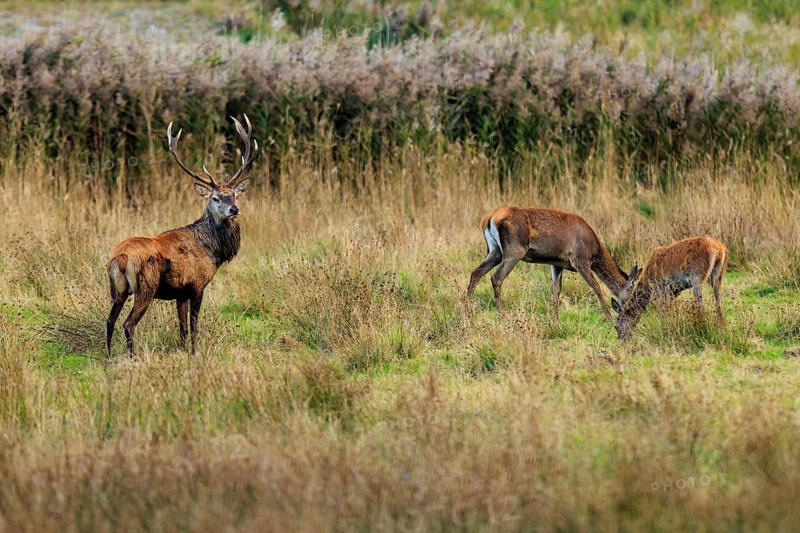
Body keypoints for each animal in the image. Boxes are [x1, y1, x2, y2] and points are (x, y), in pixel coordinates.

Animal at [105, 115, 257, 359]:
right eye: (215, 198)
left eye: (234, 195)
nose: (234, 209)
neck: (212, 251)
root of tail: (120, 257)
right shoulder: (197, 285)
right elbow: (194, 326)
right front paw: (195, 353)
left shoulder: (180, 293)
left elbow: (182, 327)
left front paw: (182, 350)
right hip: (145, 287)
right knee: (128, 323)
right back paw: (133, 356)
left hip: (117, 289)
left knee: (109, 321)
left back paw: (108, 357)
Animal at [467, 206, 636, 321]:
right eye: (633, 292)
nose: (633, 311)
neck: (595, 252)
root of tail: (489, 218)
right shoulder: (579, 259)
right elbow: (597, 287)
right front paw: (609, 317)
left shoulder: (557, 263)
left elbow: (556, 291)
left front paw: (555, 320)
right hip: (514, 250)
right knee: (496, 278)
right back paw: (501, 315)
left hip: (494, 251)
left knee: (475, 273)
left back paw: (468, 312)